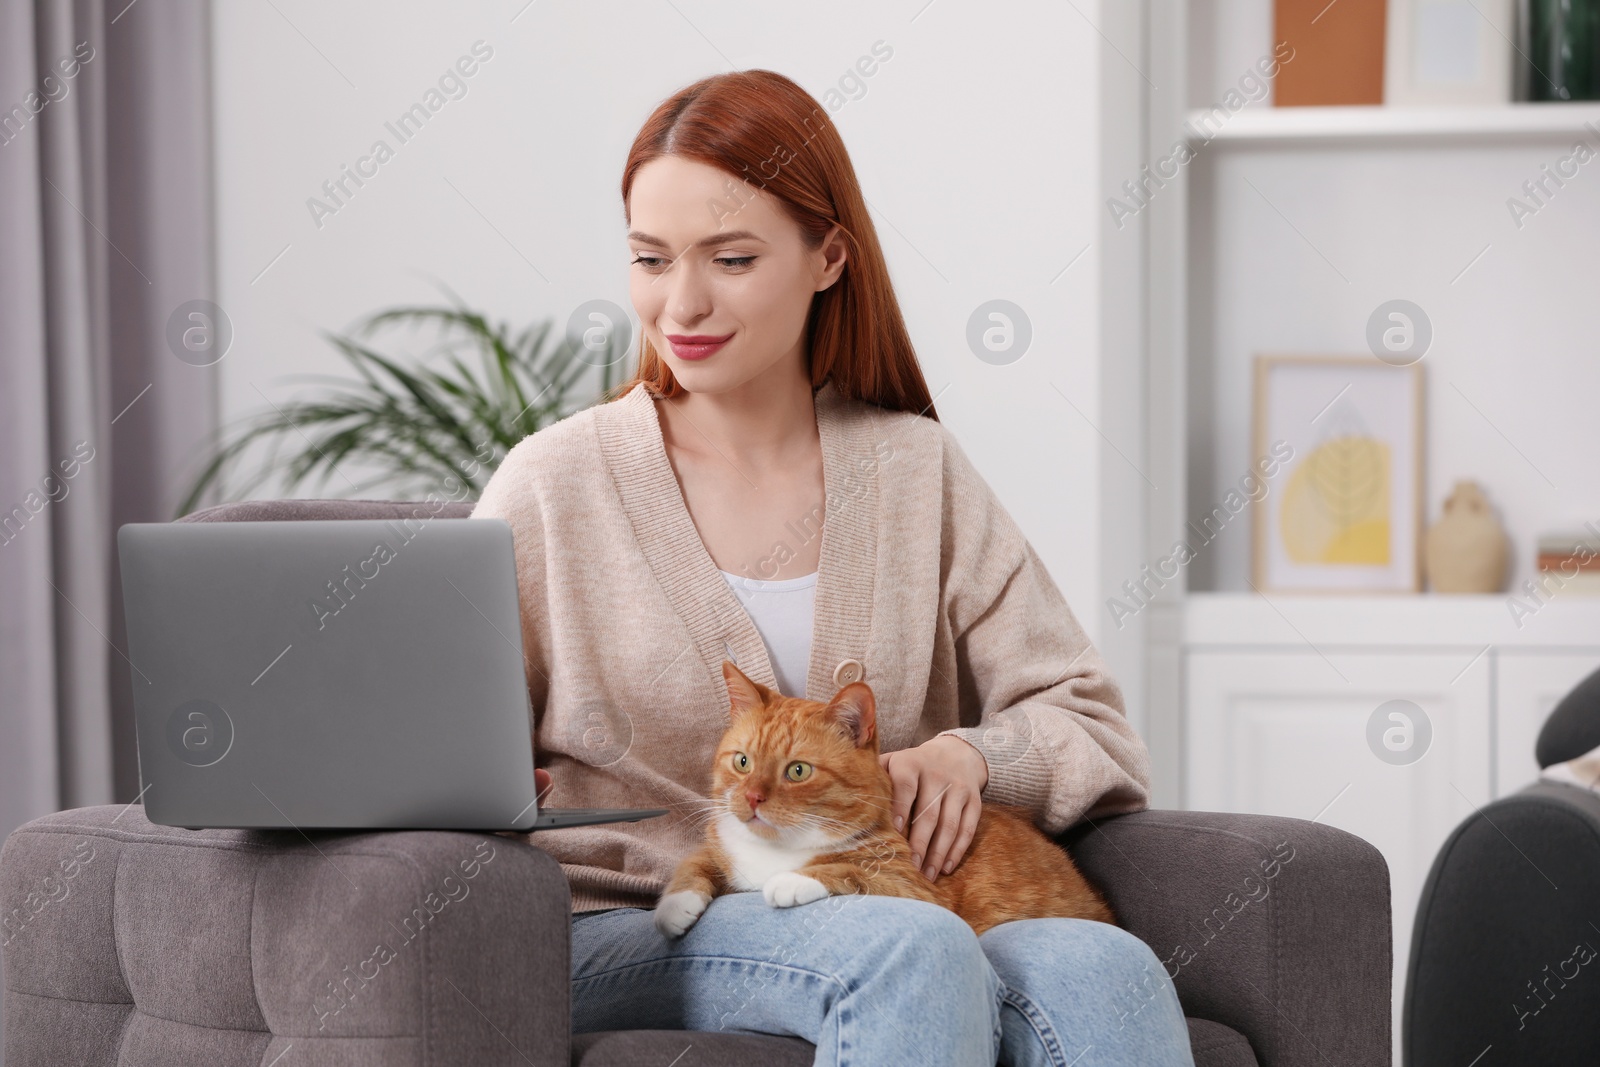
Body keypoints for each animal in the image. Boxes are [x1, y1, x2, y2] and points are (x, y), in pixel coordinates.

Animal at [649, 662, 1113, 940]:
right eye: (743, 762)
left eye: (797, 771)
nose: (751, 798)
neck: (777, 849)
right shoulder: (719, 846)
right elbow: (695, 862)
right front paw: (675, 904)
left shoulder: (914, 888)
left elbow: (849, 871)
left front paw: (792, 880)